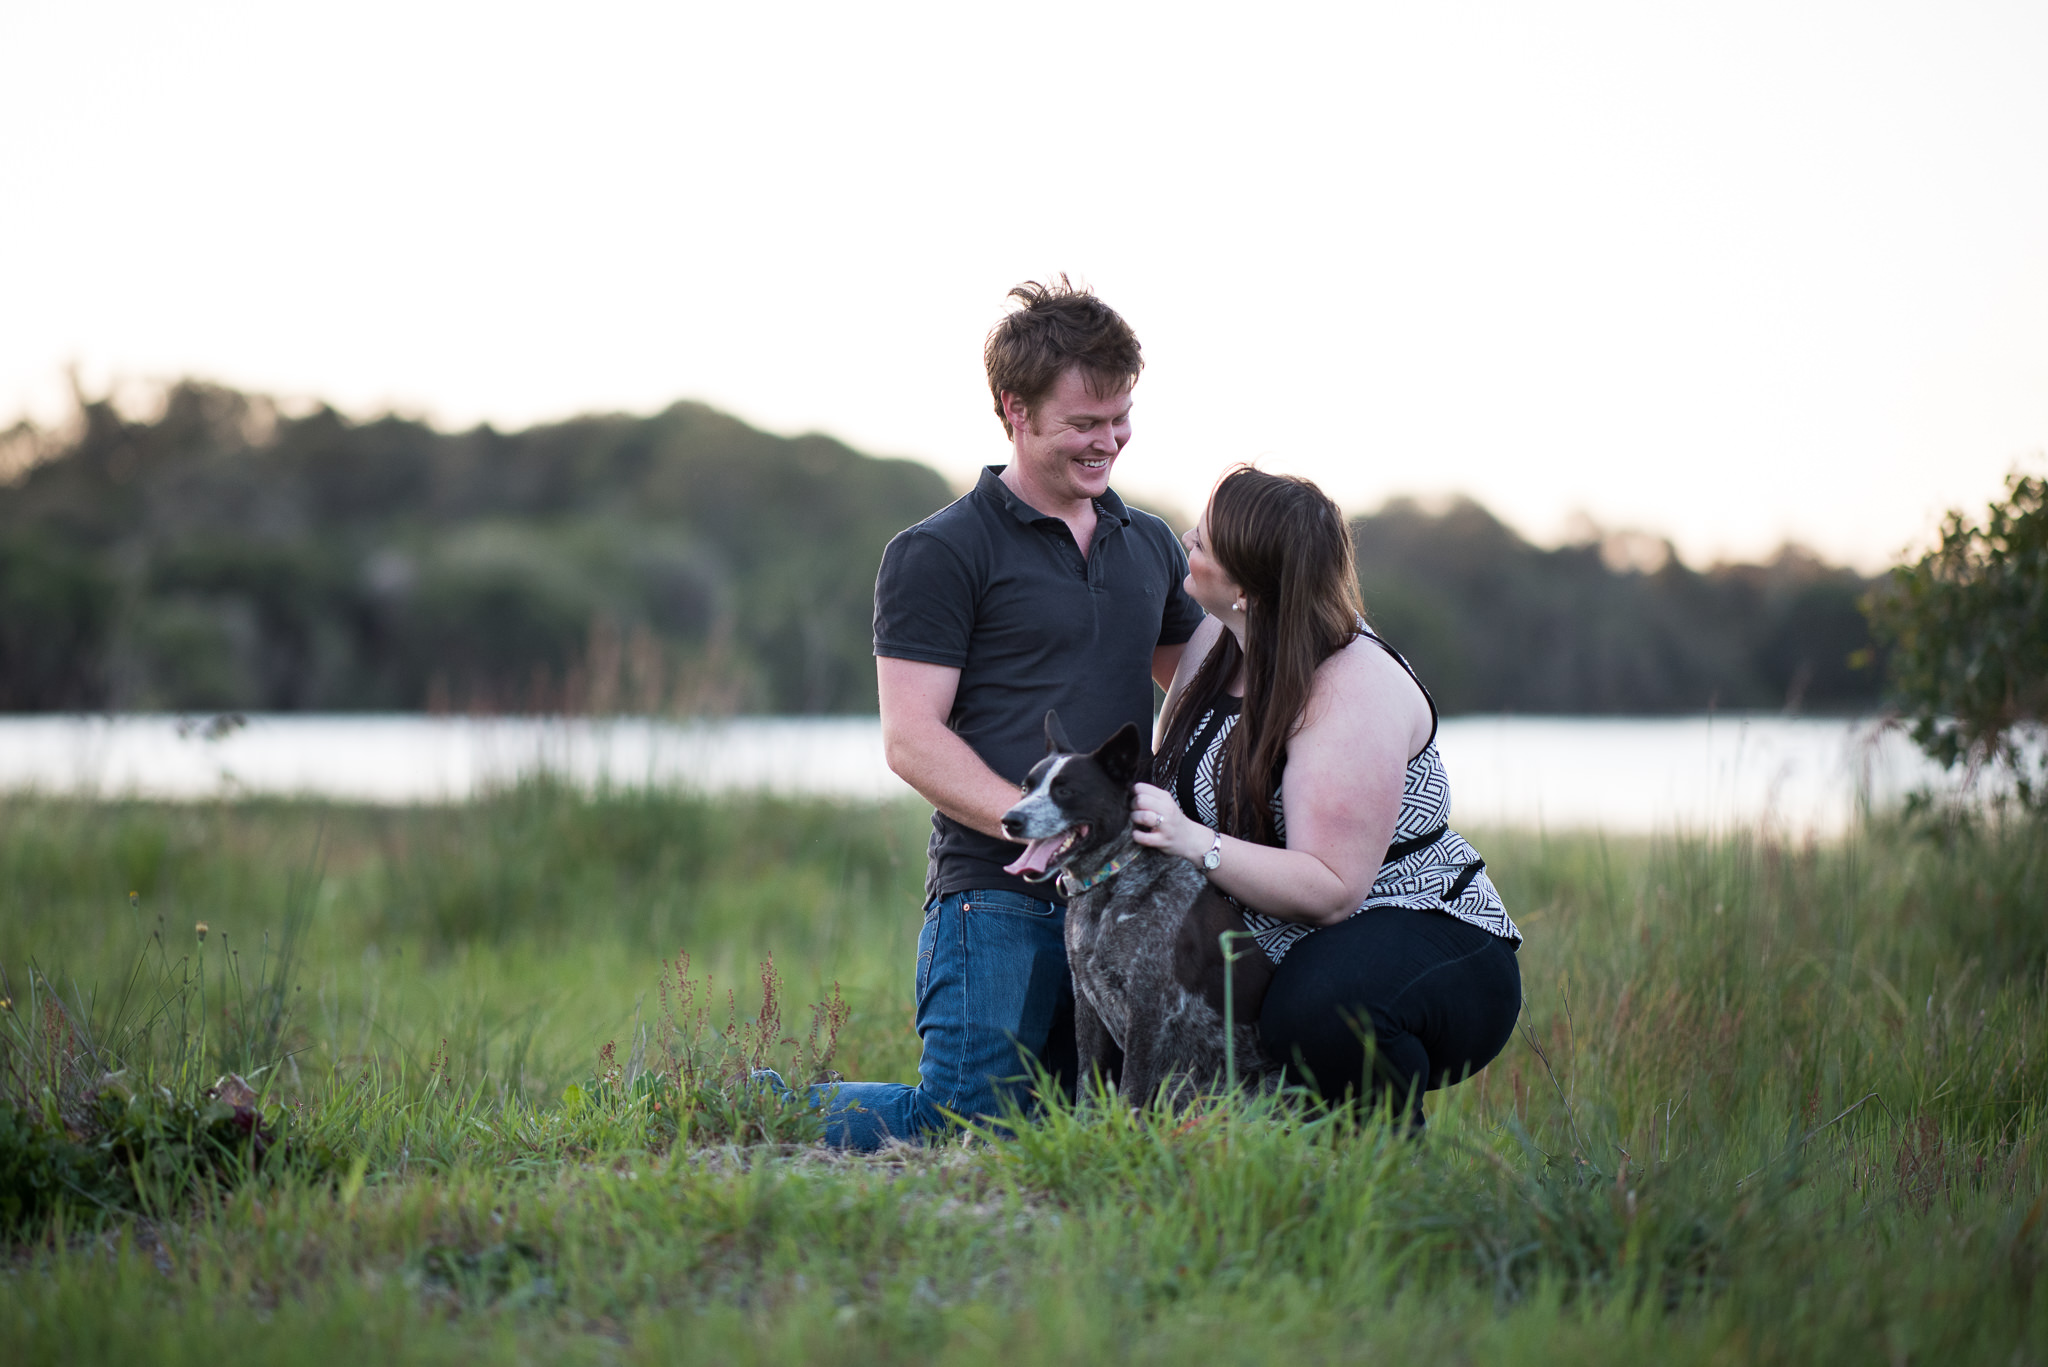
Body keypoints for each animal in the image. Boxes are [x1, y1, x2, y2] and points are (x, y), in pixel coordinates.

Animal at [995, 713, 1269, 1106]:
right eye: (1025, 789)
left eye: (1065, 791)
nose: (1010, 819)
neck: (1109, 884)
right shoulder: (1086, 999)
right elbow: (1086, 1083)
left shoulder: (1147, 1005)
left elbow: (1130, 1090)